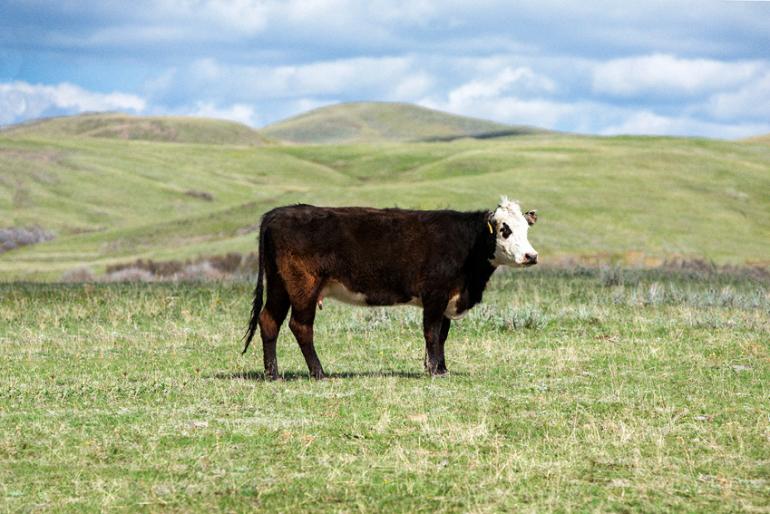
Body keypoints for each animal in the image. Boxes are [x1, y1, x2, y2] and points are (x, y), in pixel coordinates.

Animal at [242, 197, 538, 379]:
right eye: (505, 229)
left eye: (526, 229)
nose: (531, 256)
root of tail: (279, 212)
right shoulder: (435, 295)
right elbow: (432, 334)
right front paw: (433, 370)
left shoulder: (447, 298)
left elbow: (442, 335)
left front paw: (442, 368)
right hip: (303, 287)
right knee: (301, 326)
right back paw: (319, 373)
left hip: (280, 285)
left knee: (269, 321)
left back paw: (273, 374)